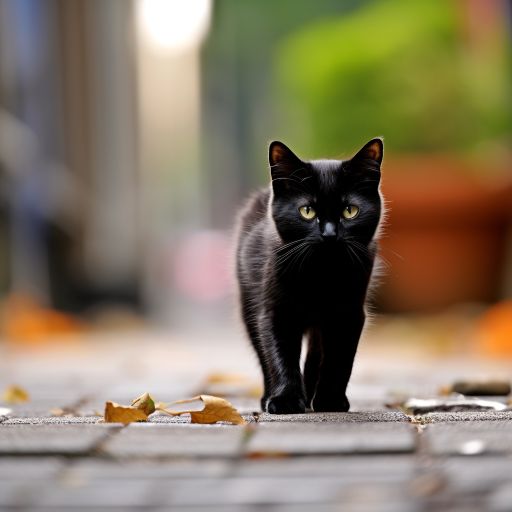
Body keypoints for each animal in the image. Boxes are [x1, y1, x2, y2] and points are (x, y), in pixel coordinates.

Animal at [236, 138, 384, 414]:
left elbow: (338, 359)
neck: (320, 274)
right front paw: (285, 400)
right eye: (307, 211)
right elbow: (279, 354)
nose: (329, 234)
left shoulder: (348, 313)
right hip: (247, 301)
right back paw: (270, 397)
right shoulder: (275, 310)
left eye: (350, 211)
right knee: (262, 351)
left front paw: (330, 400)